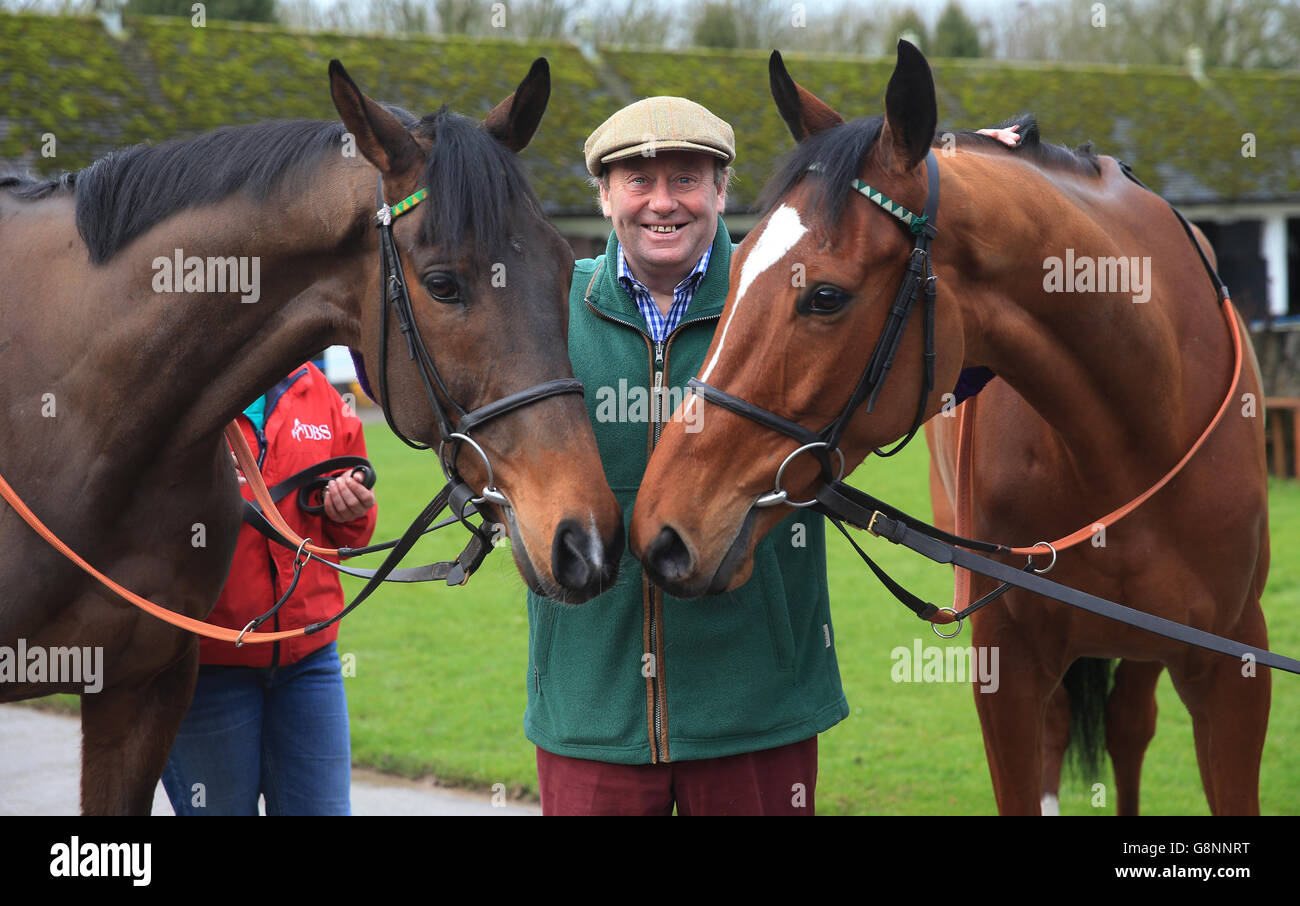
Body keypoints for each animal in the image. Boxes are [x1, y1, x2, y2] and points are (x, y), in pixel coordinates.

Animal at [629, 45, 1268, 816]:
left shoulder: (1234, 668)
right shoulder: (1008, 672)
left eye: (826, 296)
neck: (1141, 430)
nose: (660, 531)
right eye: (738, 264)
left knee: (1128, 727)